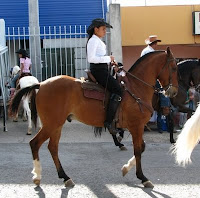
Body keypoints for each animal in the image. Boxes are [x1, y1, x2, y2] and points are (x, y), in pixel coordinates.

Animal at [9, 46, 178, 189]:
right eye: (174, 67)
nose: (174, 92)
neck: (136, 87)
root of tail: (41, 84)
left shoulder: (136, 127)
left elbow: (141, 148)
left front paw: (126, 169)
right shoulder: (137, 126)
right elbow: (138, 149)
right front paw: (142, 177)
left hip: (56, 125)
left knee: (53, 147)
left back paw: (65, 177)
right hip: (52, 124)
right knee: (35, 144)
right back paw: (38, 176)